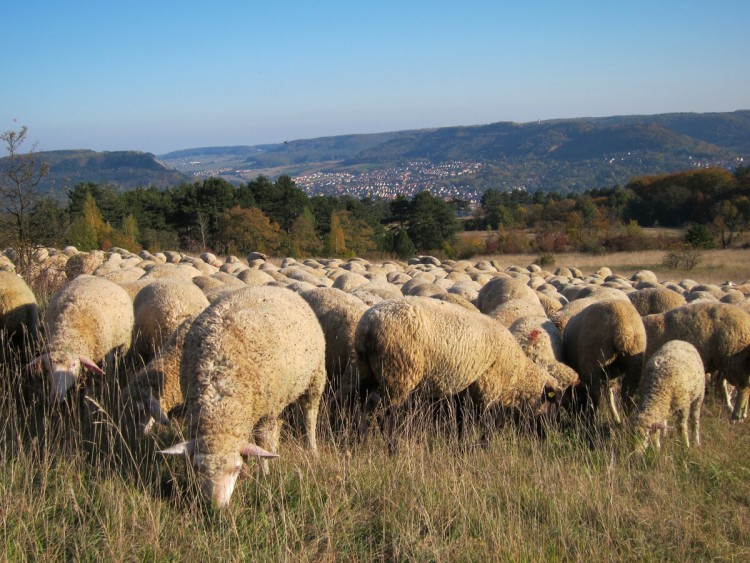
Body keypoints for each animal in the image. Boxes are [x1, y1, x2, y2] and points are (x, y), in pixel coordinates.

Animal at [160, 288, 328, 508]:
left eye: (237, 469)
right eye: (198, 468)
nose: (216, 507)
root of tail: (277, 288)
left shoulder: (265, 412)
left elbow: (263, 442)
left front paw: (265, 474)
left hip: (314, 378)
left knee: (309, 415)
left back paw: (312, 448)